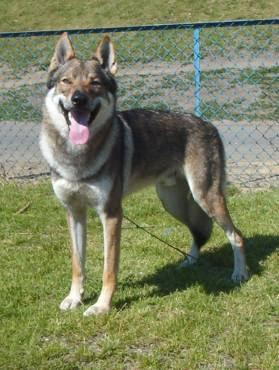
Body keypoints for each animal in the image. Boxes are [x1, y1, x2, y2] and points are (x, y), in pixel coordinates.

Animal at [40, 32, 249, 316]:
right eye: (66, 81)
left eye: (94, 83)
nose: (78, 99)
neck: (76, 156)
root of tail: (209, 124)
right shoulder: (74, 212)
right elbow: (77, 264)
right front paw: (74, 298)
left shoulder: (112, 214)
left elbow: (109, 269)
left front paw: (102, 306)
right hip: (174, 204)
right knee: (198, 234)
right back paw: (188, 262)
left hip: (206, 198)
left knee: (236, 235)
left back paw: (240, 273)